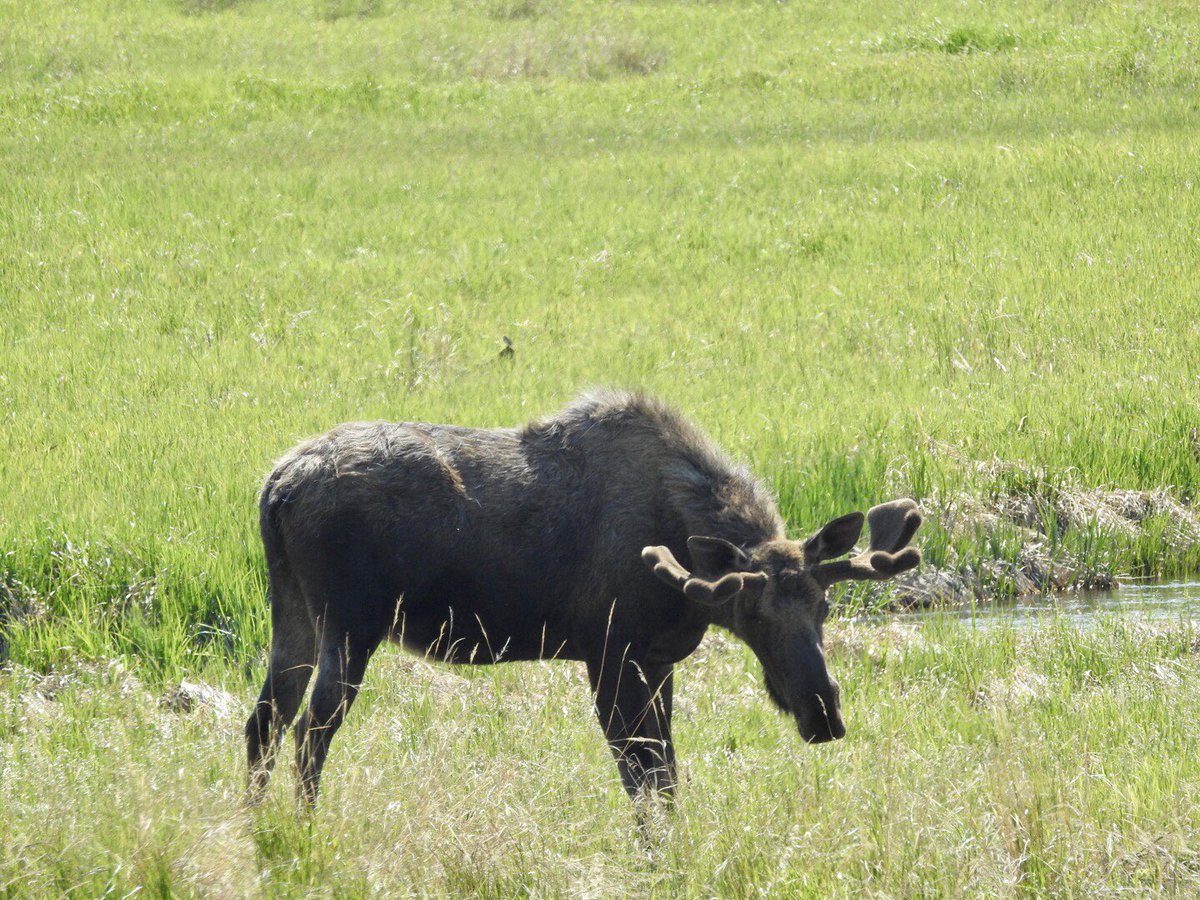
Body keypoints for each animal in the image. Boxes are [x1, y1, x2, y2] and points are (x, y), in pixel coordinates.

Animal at [241, 391, 916, 806]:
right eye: (751, 612)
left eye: (824, 607)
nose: (823, 711)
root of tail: (275, 487)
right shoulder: (611, 653)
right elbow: (644, 780)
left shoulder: (657, 658)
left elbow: (666, 776)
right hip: (351, 625)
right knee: (310, 733)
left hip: (293, 614)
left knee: (264, 723)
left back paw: (258, 834)